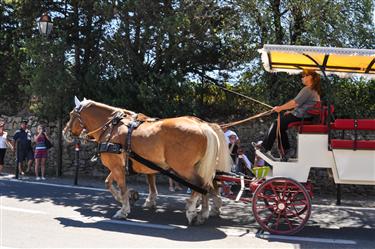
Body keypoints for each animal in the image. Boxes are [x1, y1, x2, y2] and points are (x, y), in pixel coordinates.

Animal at [63, 96, 234, 225]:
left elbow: (122, 186)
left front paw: (124, 209)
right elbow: (109, 183)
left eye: (71, 114)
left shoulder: (117, 166)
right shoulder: (118, 166)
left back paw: (192, 211)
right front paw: (128, 198)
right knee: (207, 185)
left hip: (184, 169)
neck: (112, 127)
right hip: (199, 167)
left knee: (201, 185)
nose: (65, 133)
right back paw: (205, 212)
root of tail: (204, 126)